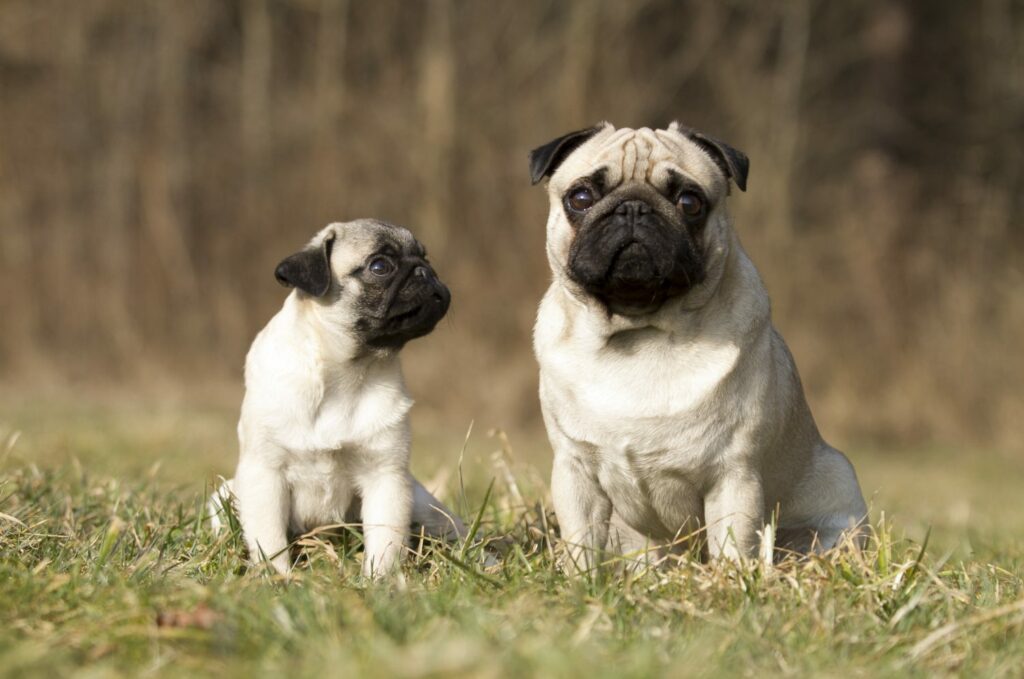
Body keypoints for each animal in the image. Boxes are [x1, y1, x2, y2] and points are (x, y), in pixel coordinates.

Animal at [218, 220, 468, 577]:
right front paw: (277, 578)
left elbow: (385, 542)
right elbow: (269, 538)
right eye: (380, 266)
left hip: (425, 505)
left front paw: (379, 580)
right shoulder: (265, 474)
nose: (426, 272)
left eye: (426, 257)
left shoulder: (386, 478)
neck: (345, 373)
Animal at [532, 122, 868, 569]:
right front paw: (580, 580)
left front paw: (731, 581)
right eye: (581, 197)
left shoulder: (733, 476)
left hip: (837, 497)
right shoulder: (575, 472)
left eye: (689, 202)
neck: (642, 331)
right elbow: (581, 545)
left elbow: (733, 548)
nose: (634, 209)